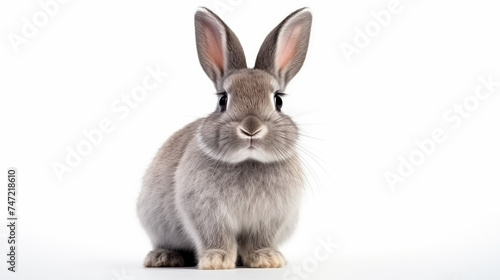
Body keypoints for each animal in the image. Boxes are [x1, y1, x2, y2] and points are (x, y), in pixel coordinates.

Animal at [137, 6, 312, 270]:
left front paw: (266, 259)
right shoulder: (206, 213)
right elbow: (216, 237)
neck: (248, 161)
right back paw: (163, 258)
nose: (251, 128)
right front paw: (216, 261)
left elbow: (259, 240)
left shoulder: (269, 218)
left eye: (278, 101)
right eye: (222, 100)